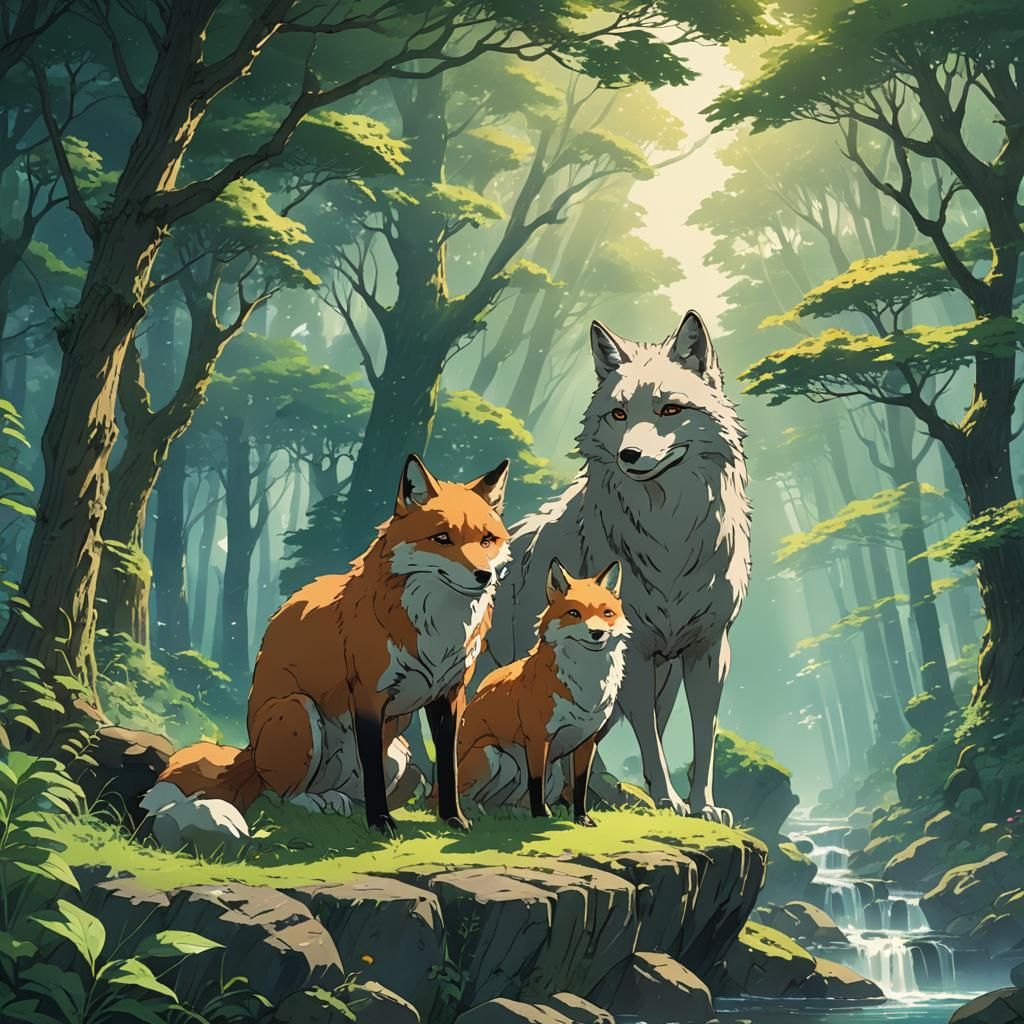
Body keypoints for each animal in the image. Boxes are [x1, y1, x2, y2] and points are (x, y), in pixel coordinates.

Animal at [157, 454, 511, 836]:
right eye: (442, 538)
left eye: (487, 540)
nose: (484, 576)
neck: (437, 633)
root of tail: (248, 751)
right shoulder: (368, 696)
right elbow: (373, 773)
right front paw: (381, 823)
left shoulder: (449, 695)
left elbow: (448, 768)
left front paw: (453, 818)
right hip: (298, 711)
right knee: (278, 793)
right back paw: (314, 802)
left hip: (400, 757)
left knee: (348, 791)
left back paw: (339, 802)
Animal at [458, 558, 629, 826]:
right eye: (574, 613)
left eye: (607, 614)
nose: (597, 633)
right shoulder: (538, 737)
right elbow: (535, 782)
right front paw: (541, 817)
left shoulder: (587, 741)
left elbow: (580, 785)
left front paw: (581, 818)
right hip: (494, 755)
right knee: (465, 797)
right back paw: (475, 816)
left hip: (553, 775)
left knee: (507, 804)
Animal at [489, 312, 751, 824]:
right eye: (619, 415)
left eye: (670, 410)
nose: (630, 455)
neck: (669, 540)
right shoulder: (635, 650)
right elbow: (649, 736)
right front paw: (669, 801)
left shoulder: (709, 649)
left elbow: (699, 733)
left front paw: (703, 805)